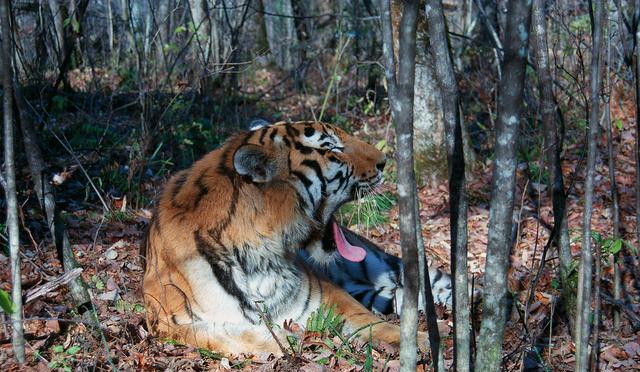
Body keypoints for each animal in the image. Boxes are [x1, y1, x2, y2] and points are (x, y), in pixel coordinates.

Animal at [141, 121, 430, 354]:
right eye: (331, 148)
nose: (384, 161)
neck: (258, 253)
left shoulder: (326, 293)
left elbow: (370, 321)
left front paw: (420, 340)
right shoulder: (167, 318)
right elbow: (216, 334)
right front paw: (279, 340)